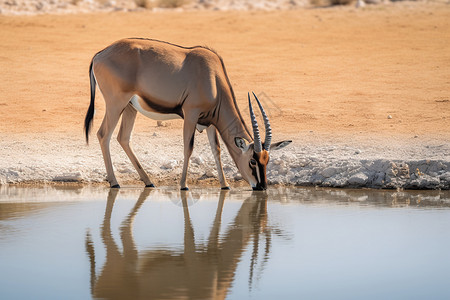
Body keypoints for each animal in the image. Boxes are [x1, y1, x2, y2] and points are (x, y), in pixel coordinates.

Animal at [85, 38, 292, 191]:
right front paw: (183, 185)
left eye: (267, 160)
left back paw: (148, 181)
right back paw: (115, 182)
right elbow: (188, 147)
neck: (213, 77)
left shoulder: (209, 123)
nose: (262, 187)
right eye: (252, 161)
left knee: (123, 137)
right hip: (116, 104)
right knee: (103, 134)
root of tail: (99, 55)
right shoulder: (191, 115)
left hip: (130, 107)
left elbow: (216, 150)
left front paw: (225, 185)